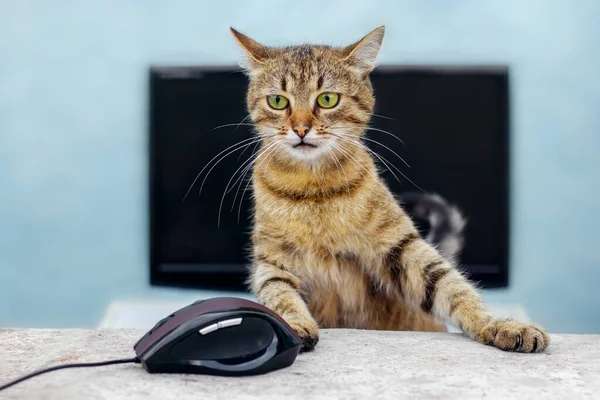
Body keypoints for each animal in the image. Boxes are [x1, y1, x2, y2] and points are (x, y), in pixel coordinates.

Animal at [230, 25, 548, 354]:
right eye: (278, 102)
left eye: (328, 99)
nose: (301, 129)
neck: (314, 190)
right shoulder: (272, 263)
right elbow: (279, 297)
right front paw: (293, 326)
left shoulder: (401, 247)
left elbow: (454, 287)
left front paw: (498, 324)